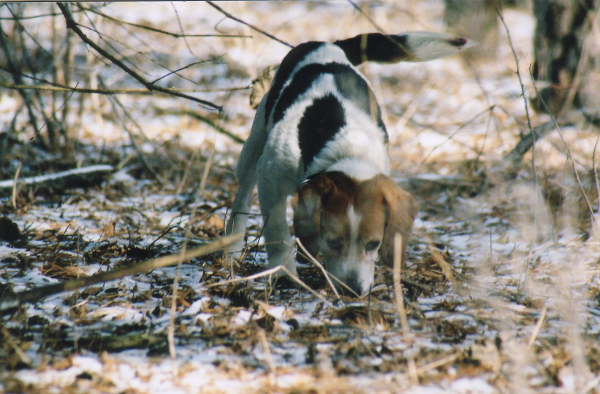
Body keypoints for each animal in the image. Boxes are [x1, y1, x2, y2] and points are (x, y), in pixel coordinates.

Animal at [225, 31, 474, 296]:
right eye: (333, 242)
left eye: (374, 243)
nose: (353, 290)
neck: (348, 149)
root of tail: (329, 44)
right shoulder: (270, 178)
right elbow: (276, 230)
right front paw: (284, 273)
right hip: (254, 143)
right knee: (243, 194)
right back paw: (231, 248)